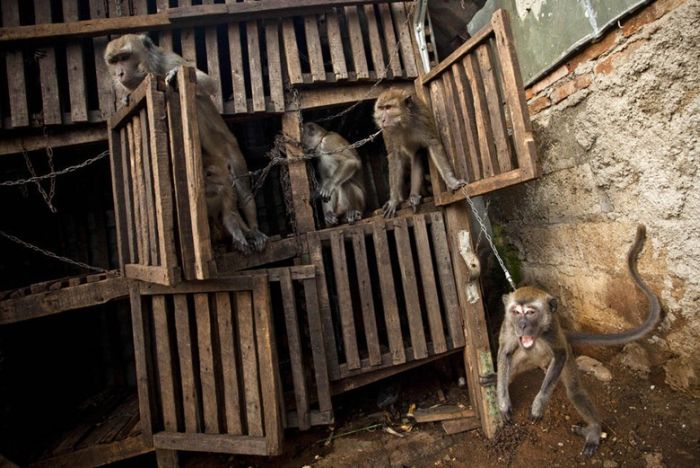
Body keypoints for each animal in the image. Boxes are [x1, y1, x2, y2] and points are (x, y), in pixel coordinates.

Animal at [104, 34, 266, 254]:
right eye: (113, 61)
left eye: (124, 57)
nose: (119, 73)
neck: (152, 68)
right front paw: (124, 98)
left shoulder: (169, 61)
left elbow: (207, 83)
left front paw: (175, 75)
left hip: (231, 152)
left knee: (242, 189)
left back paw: (253, 230)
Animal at [372, 87, 464, 218]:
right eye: (381, 108)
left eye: (388, 107)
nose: (383, 120)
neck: (403, 122)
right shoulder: (388, 132)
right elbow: (394, 156)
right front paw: (394, 200)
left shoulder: (422, 119)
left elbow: (433, 144)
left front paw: (452, 182)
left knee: (418, 153)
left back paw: (414, 195)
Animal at [498, 225, 660, 456]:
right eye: (516, 312)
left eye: (530, 312)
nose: (521, 325)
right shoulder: (508, 327)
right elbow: (505, 352)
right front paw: (503, 402)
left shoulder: (552, 332)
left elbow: (559, 354)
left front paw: (539, 403)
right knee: (514, 364)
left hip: (561, 360)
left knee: (574, 391)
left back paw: (593, 430)